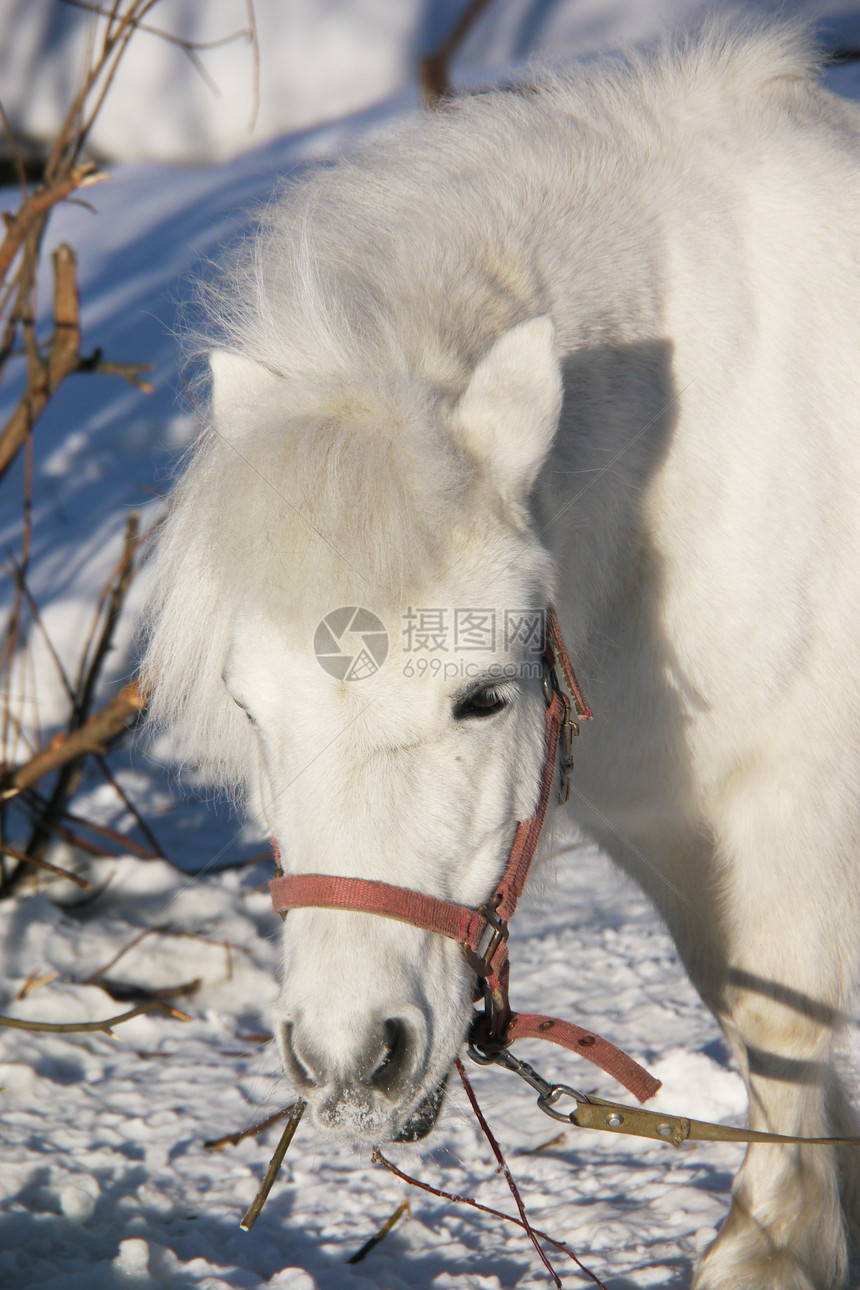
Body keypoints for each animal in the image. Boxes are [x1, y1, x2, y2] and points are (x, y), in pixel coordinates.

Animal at [144, 22, 860, 1290]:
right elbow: (745, 1013)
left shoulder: (802, 800)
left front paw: (767, 1249)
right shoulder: (665, 825)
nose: (349, 1062)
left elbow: (783, 1026)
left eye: (482, 698)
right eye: (250, 710)